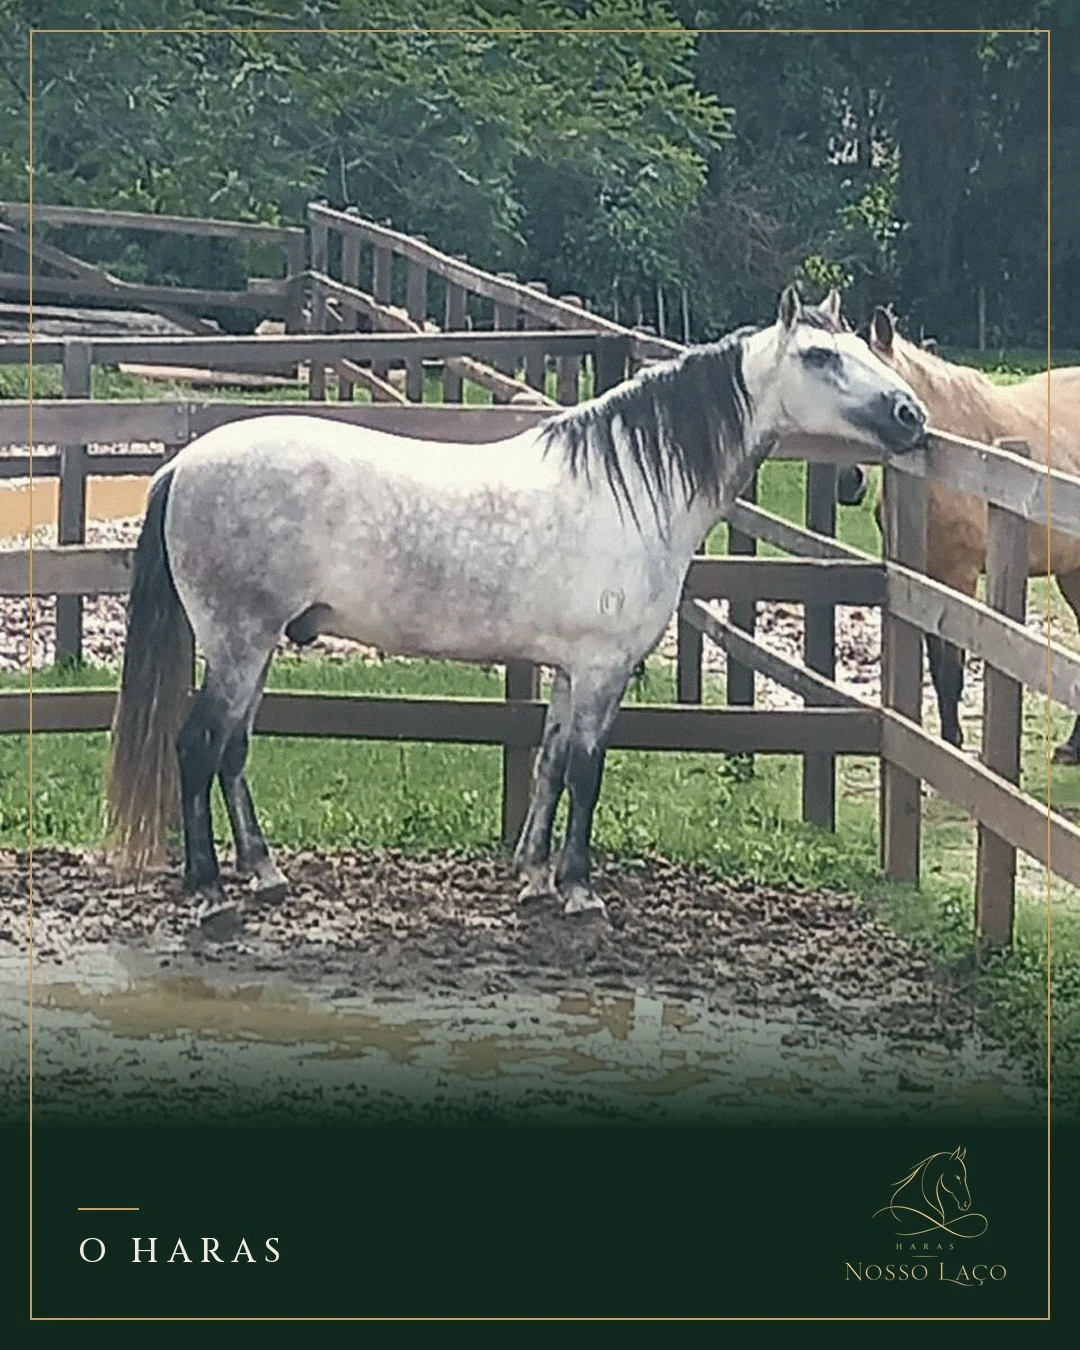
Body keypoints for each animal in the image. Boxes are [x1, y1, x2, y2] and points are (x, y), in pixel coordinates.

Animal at [104, 285, 927, 937]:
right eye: (820, 357)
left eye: (862, 348)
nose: (910, 414)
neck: (633, 488)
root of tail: (184, 464)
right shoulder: (601, 669)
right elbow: (588, 770)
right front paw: (579, 891)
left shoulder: (568, 670)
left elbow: (551, 762)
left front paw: (532, 877)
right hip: (237, 641)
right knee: (198, 747)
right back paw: (211, 894)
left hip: (255, 647)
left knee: (233, 751)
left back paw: (265, 873)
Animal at [832, 300, 1080, 756]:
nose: (848, 480)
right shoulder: (925, 580)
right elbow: (936, 662)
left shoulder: (959, 578)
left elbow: (952, 669)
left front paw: (952, 745)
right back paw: (1073, 745)